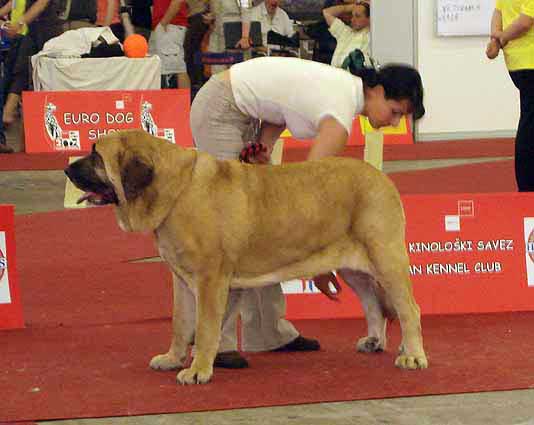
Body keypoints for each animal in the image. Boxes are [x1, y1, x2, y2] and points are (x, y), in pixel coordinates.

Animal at [65, 129, 430, 384]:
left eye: (96, 155)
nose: (67, 169)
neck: (174, 188)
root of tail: (380, 176)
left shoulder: (210, 280)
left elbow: (205, 328)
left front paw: (197, 370)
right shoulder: (181, 280)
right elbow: (180, 324)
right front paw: (172, 358)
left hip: (386, 258)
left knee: (408, 308)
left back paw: (413, 356)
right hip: (355, 269)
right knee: (374, 303)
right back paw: (375, 341)